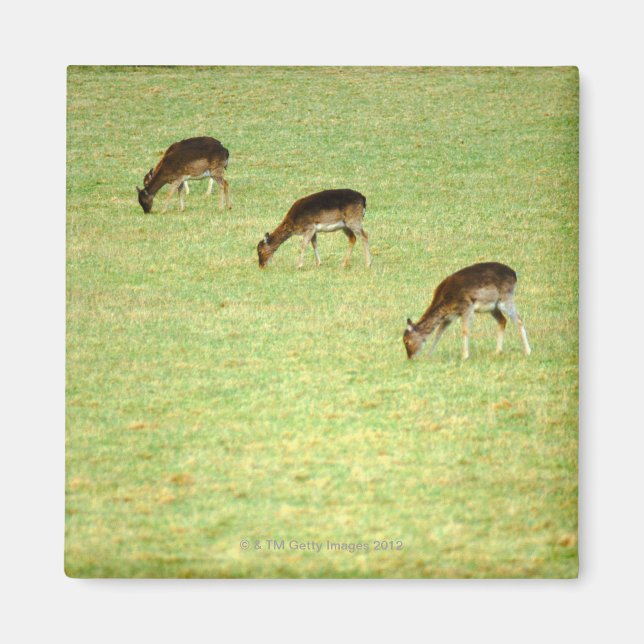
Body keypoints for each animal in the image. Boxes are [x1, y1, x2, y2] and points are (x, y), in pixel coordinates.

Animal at [403, 262, 532, 360]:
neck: (446, 301)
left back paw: (528, 351)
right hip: (493, 307)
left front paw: (464, 356)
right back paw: (497, 352)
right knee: (503, 320)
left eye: (406, 341)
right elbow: (438, 333)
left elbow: (465, 330)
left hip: (505, 299)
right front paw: (428, 355)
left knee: (518, 319)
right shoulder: (450, 316)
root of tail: (514, 274)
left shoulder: (467, 307)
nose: (410, 357)